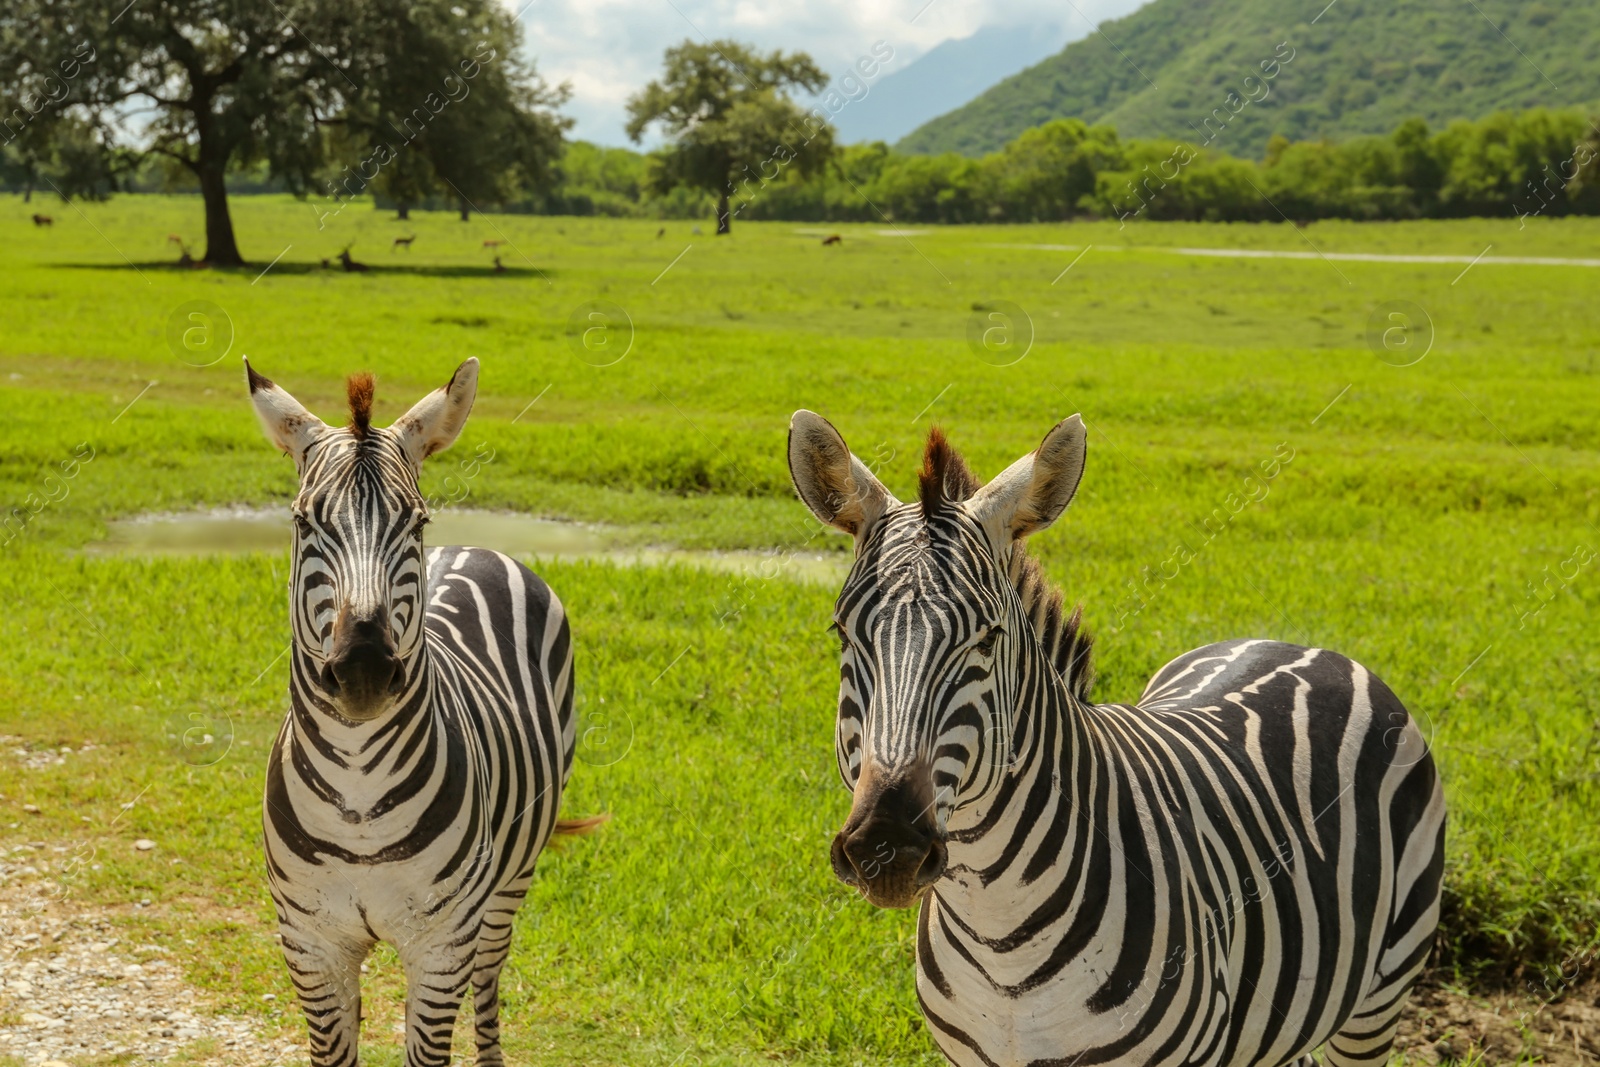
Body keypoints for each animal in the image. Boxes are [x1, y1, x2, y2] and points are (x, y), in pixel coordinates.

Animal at [246, 361, 598, 1067]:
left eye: (414, 522)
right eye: (303, 522)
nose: (362, 671)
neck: (357, 795)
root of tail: (478, 549)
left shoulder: (440, 947)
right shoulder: (309, 943)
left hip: (509, 883)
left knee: (491, 977)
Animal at [790, 412, 1452, 1067]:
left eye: (987, 638)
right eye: (843, 632)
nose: (887, 846)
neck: (998, 935)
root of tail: (1304, 647)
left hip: (1381, 992)